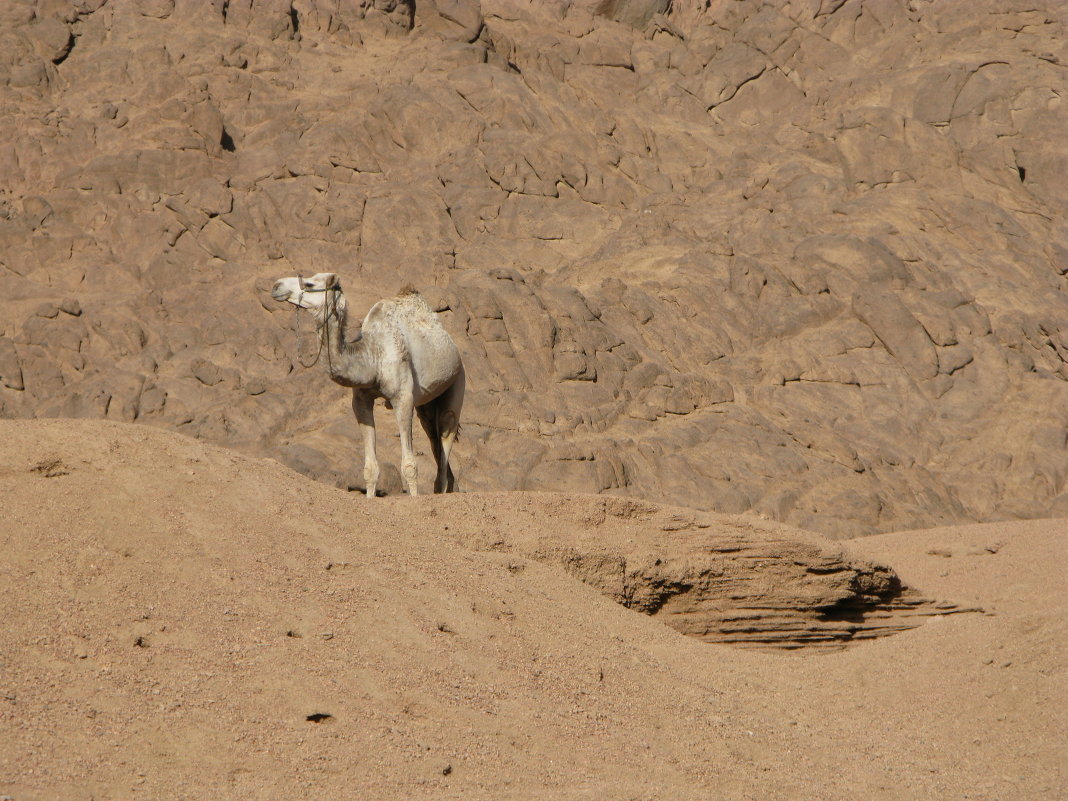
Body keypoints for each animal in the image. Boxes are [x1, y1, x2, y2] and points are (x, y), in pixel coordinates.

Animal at [271, 273, 463, 495]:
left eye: (310, 284)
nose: (276, 286)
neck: (372, 356)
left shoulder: (403, 398)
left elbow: (409, 466)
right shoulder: (361, 400)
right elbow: (370, 469)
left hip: (457, 380)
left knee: (446, 431)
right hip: (426, 404)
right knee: (433, 437)